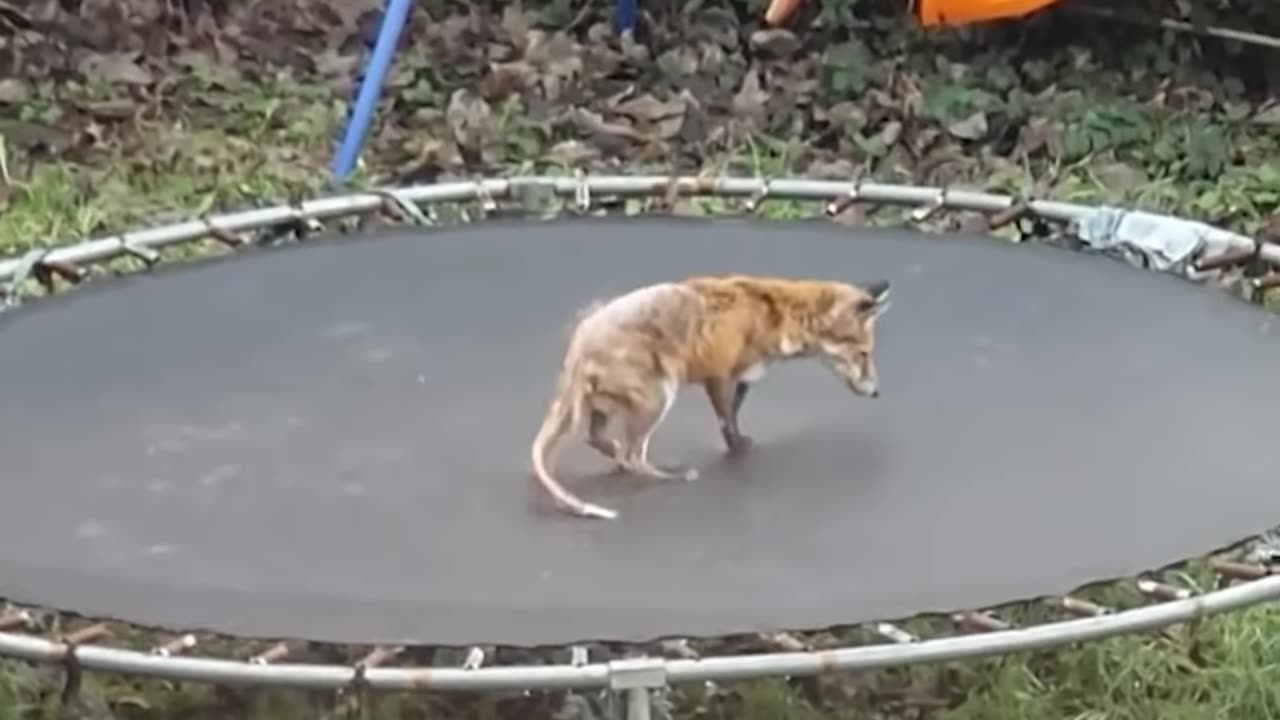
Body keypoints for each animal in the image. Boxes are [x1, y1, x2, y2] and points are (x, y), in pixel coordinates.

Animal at [527, 272, 890, 515]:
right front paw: (738, 452)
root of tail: (578, 346)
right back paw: (669, 476)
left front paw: (741, 445)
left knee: (597, 438)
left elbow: (733, 420)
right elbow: (727, 423)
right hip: (659, 396)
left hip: (608, 405)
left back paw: (616, 456)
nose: (877, 393)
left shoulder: (743, 377)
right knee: (633, 456)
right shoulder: (721, 376)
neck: (776, 313)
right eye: (864, 354)